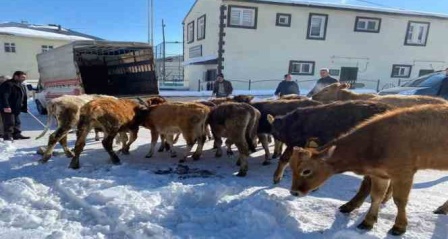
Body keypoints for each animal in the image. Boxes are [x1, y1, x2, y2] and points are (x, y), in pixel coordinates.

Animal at [288, 104, 448, 235]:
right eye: (291, 168)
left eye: (306, 171)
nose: (294, 192)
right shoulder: (379, 175)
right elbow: (376, 197)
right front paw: (368, 222)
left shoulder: (403, 173)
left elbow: (400, 201)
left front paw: (399, 226)